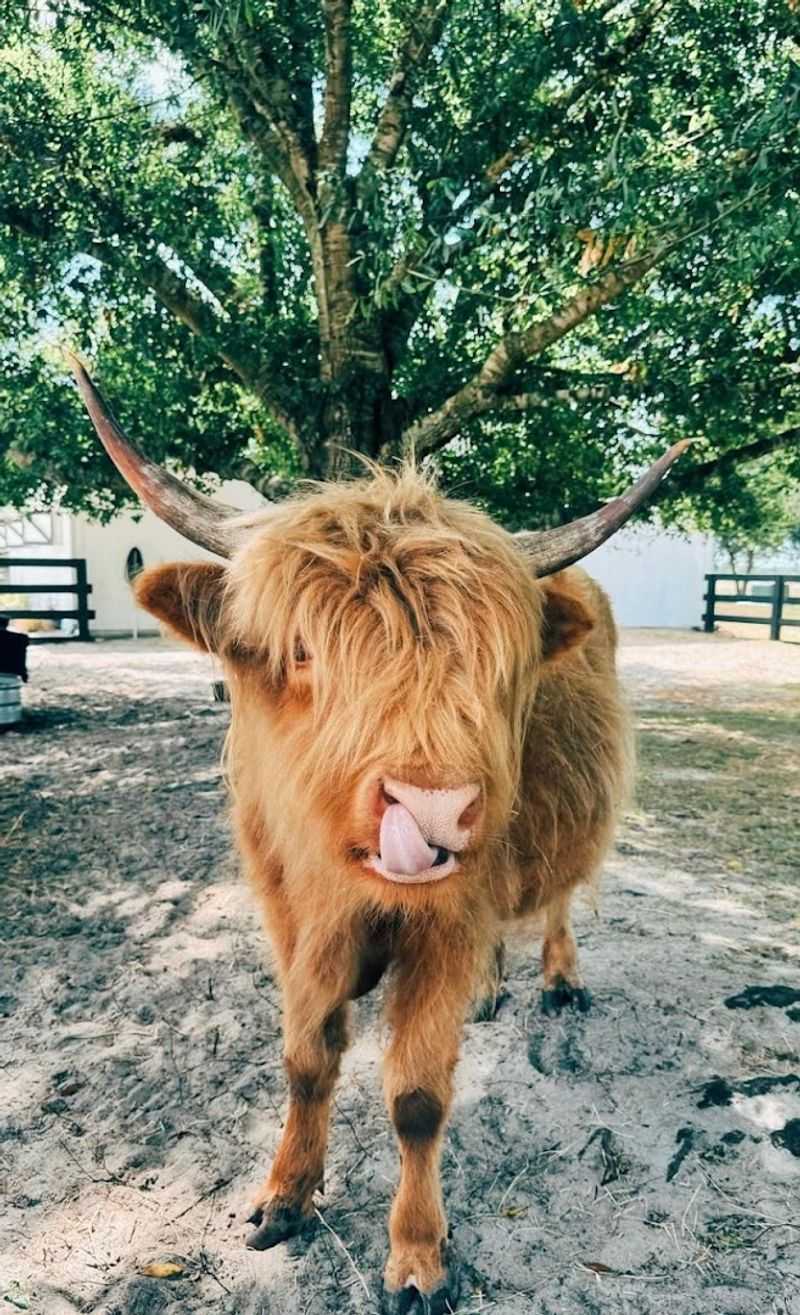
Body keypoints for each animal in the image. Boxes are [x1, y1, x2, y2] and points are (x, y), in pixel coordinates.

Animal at [71, 360, 686, 1314]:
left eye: (501, 666)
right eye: (300, 649)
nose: (434, 810)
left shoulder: (445, 921)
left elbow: (419, 1097)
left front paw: (418, 1256)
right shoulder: (296, 918)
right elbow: (305, 1058)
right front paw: (283, 1195)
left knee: (556, 900)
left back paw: (557, 979)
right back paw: (492, 988)